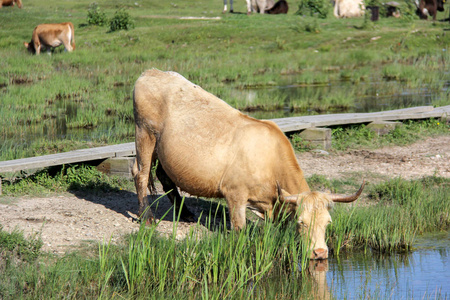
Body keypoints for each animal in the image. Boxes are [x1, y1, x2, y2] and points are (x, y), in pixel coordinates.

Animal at [132, 69, 364, 258]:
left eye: (328, 222)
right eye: (302, 222)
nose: (320, 253)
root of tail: (151, 72)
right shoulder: (234, 194)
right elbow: (239, 230)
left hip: (162, 149)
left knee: (164, 176)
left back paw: (186, 213)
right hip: (145, 133)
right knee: (140, 173)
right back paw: (147, 218)